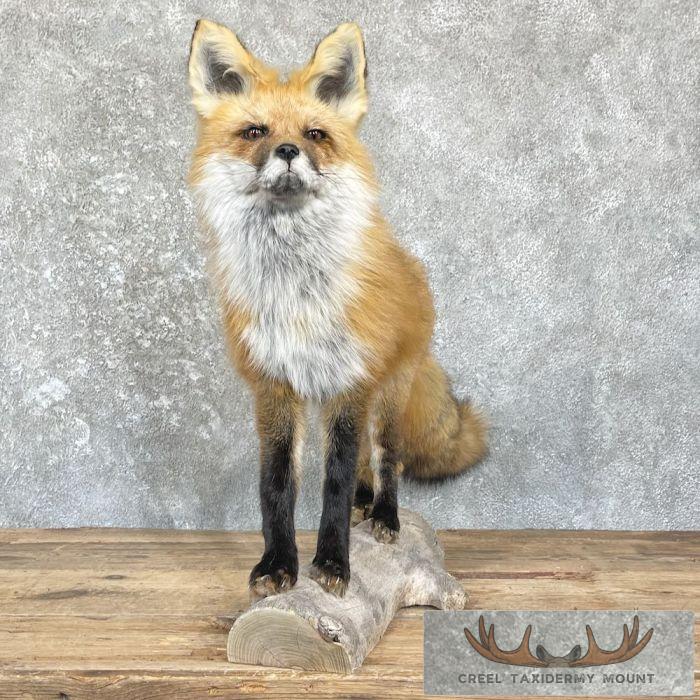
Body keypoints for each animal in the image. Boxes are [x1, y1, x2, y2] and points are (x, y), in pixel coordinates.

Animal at [187, 19, 487, 598]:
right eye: (254, 132)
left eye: (315, 134)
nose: (286, 149)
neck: (296, 294)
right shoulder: (274, 387)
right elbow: (277, 486)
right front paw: (278, 564)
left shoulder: (350, 382)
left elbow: (334, 482)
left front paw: (331, 563)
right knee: (367, 468)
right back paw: (365, 504)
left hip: (388, 392)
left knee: (387, 460)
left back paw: (385, 514)